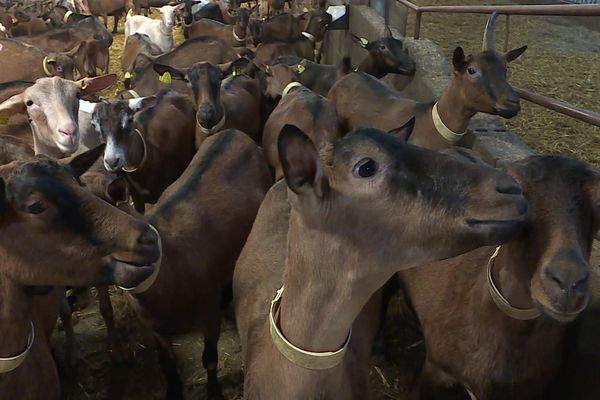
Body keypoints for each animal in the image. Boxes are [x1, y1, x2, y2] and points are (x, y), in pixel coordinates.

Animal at [126, 130, 272, 398]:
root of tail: (233, 133)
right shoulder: (156, 329)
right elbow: (168, 364)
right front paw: (173, 392)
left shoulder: (208, 314)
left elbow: (210, 359)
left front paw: (214, 391)